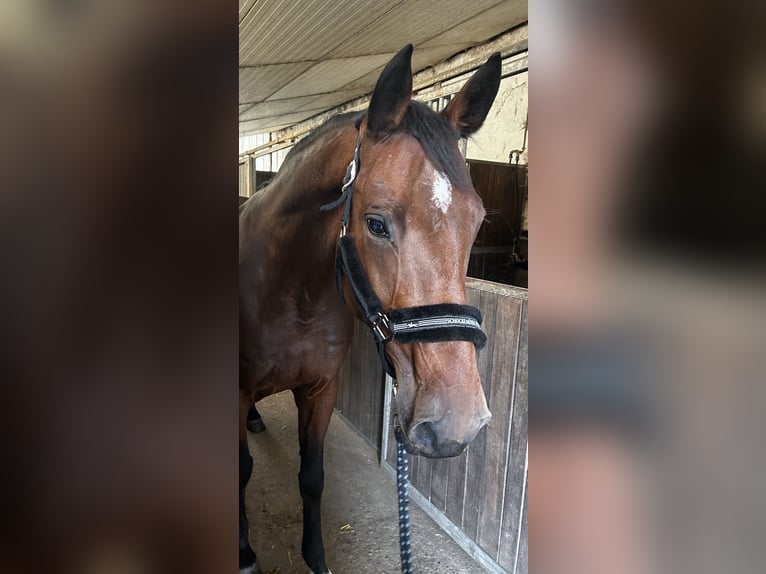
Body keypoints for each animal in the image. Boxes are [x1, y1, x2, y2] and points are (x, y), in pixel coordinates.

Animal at [240, 46, 504, 574]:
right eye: (376, 224)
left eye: (476, 222)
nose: (456, 423)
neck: (288, 293)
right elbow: (240, 472)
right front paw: (243, 553)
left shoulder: (321, 390)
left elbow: (312, 477)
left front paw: (317, 558)